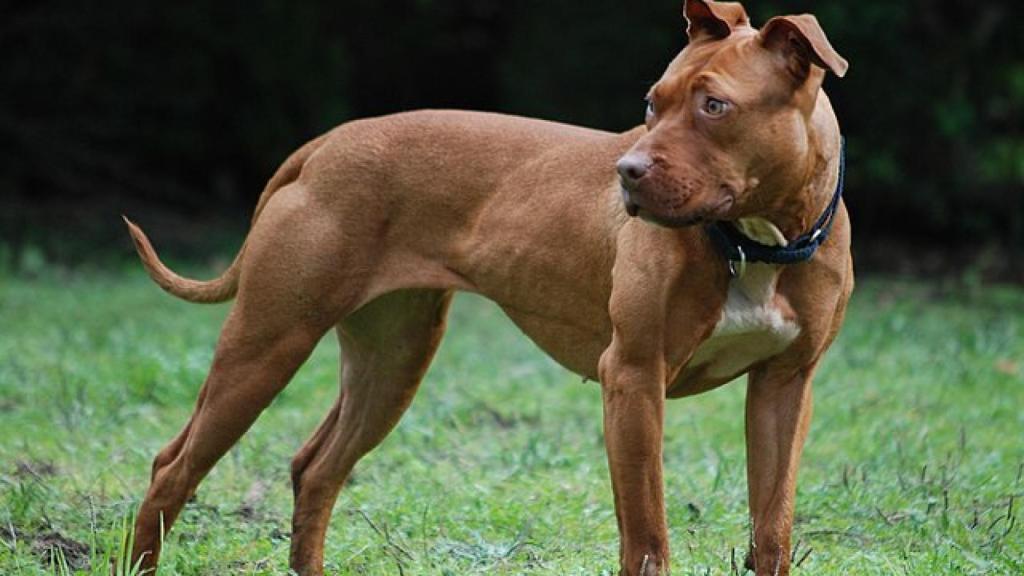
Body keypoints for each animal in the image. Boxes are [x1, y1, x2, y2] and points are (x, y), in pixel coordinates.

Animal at [123, 2, 851, 569]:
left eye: (715, 105)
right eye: (653, 103)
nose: (627, 171)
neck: (758, 240)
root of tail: (324, 145)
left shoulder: (785, 389)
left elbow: (772, 531)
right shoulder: (635, 379)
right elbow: (647, 540)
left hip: (392, 361)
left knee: (316, 468)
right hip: (266, 343)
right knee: (172, 469)